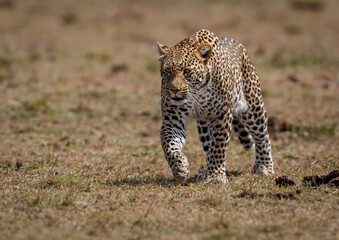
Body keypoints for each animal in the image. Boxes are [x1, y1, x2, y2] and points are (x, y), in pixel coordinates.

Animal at [158, 29, 274, 185]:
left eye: (186, 71)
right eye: (167, 71)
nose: (174, 90)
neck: (197, 91)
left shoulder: (222, 115)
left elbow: (219, 146)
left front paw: (216, 176)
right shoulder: (173, 119)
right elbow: (169, 144)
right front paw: (179, 168)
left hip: (253, 109)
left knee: (263, 137)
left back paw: (264, 166)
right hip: (204, 126)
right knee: (208, 146)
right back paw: (205, 172)